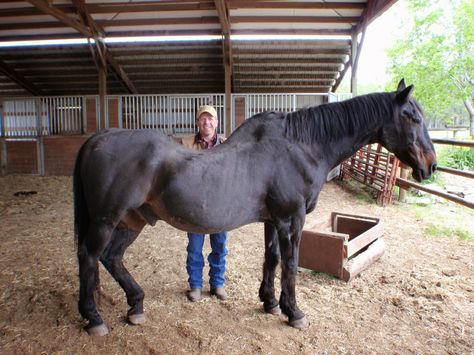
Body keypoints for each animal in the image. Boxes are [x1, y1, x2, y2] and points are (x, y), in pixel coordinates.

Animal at [73, 80, 436, 336]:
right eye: (413, 117)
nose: (430, 166)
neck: (300, 147)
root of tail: (98, 138)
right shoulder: (292, 219)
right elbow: (290, 264)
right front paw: (294, 313)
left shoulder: (273, 220)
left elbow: (271, 259)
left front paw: (270, 303)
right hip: (107, 220)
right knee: (90, 257)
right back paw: (94, 318)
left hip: (131, 221)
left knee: (111, 258)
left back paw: (136, 306)